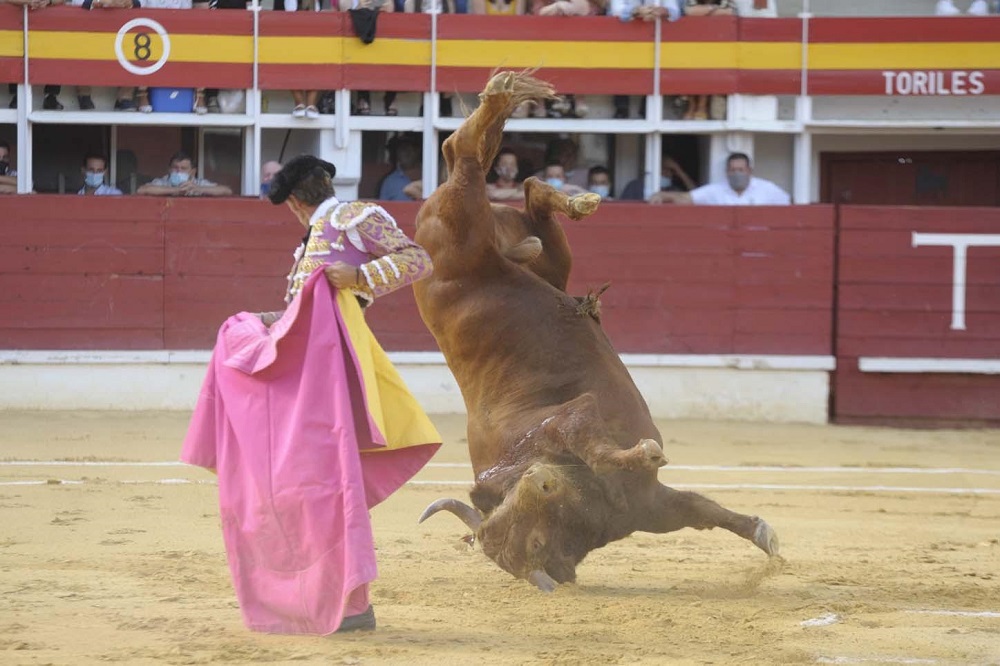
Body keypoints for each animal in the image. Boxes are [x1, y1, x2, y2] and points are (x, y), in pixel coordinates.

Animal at [410, 71, 776, 592]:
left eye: (529, 527)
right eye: (533, 544)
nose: (540, 479)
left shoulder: (568, 421)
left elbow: (591, 434)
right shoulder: (651, 507)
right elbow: (698, 509)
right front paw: (762, 534)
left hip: (479, 236)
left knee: (471, 158)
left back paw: (514, 112)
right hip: (513, 244)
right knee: (503, 177)